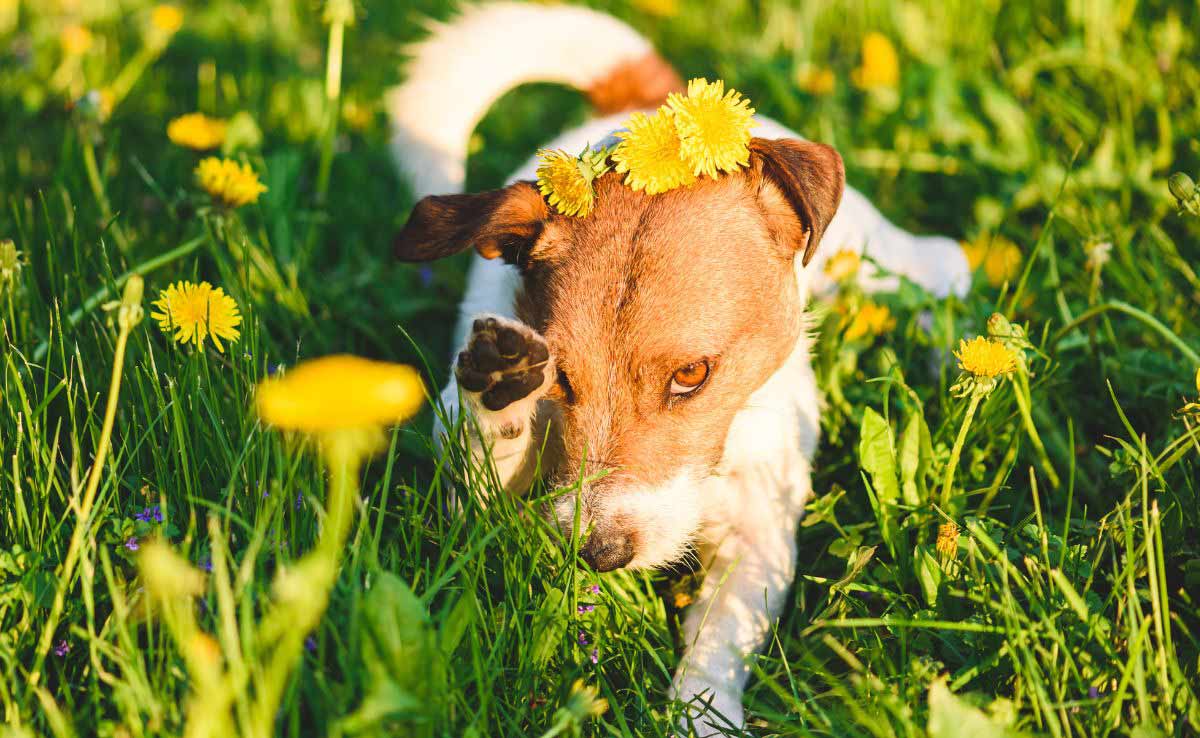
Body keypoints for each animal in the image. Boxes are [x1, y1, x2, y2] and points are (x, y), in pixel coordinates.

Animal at [388, 4, 969, 734]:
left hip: (864, 256)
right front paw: (500, 390)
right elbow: (478, 461)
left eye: (691, 375)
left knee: (942, 264)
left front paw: (701, 714)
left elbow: (721, 640)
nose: (598, 553)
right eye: (561, 377)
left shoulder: (759, 533)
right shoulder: (475, 503)